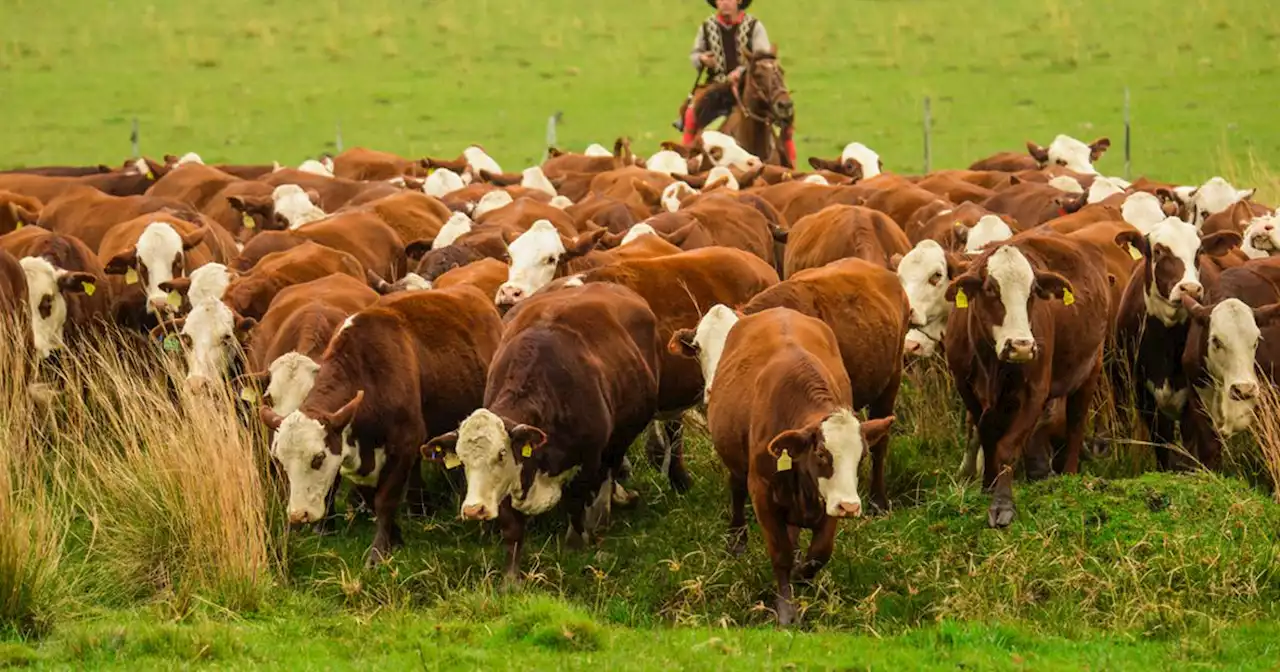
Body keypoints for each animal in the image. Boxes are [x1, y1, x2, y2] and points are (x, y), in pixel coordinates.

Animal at [259, 285, 504, 563]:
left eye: (318, 458)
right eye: (281, 460)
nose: (298, 515)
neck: (369, 375)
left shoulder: (405, 443)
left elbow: (385, 500)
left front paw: (378, 552)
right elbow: (372, 498)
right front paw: (395, 537)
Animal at [424, 282, 660, 576]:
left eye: (501, 454)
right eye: (463, 460)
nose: (474, 510)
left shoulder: (588, 459)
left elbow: (576, 503)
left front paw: (575, 545)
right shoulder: (512, 478)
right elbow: (512, 528)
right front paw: (511, 576)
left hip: (621, 436)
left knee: (610, 470)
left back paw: (602, 514)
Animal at [675, 305, 896, 627]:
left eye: (862, 456)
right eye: (821, 454)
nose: (851, 507)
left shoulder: (829, 497)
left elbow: (818, 554)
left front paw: (801, 575)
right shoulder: (762, 492)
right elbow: (781, 554)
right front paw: (786, 609)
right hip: (738, 467)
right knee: (736, 490)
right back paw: (737, 540)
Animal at [942, 232, 1111, 527]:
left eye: (1033, 292)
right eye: (991, 290)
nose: (1021, 346)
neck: (991, 364)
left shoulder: (1035, 391)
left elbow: (1007, 447)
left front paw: (1002, 504)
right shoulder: (966, 388)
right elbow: (986, 435)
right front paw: (987, 486)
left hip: (1090, 370)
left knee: (1075, 425)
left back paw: (1068, 473)